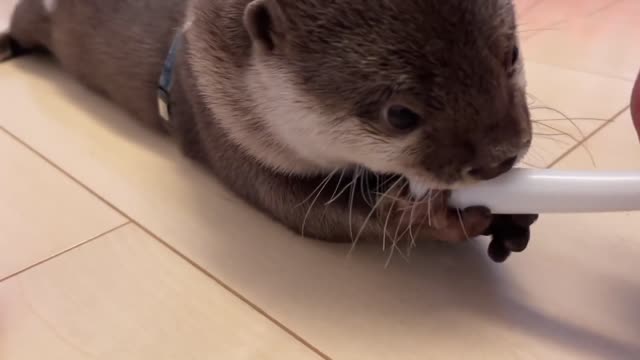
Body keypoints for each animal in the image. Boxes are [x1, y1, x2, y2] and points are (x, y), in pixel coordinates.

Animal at [0, 0, 540, 264]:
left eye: (511, 54)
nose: (499, 156)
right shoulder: (224, 127)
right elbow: (306, 213)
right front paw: (423, 216)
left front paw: (510, 219)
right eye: (400, 115)